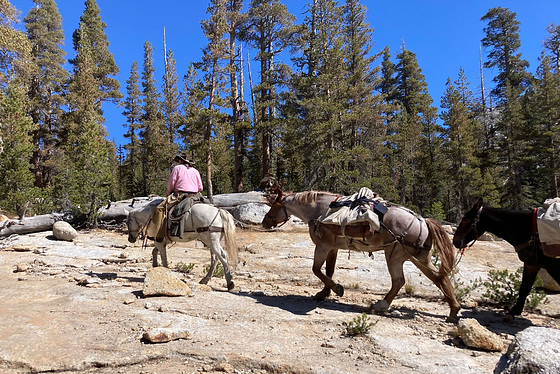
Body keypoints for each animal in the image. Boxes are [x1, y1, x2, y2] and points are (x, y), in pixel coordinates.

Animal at [262, 188, 460, 322]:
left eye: (274, 206)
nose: (264, 222)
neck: (320, 211)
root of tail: (423, 221)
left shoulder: (322, 246)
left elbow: (316, 270)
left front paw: (336, 289)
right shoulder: (332, 248)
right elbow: (329, 270)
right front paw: (324, 292)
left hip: (395, 255)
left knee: (399, 281)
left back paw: (380, 305)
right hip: (418, 257)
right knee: (439, 278)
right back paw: (453, 311)